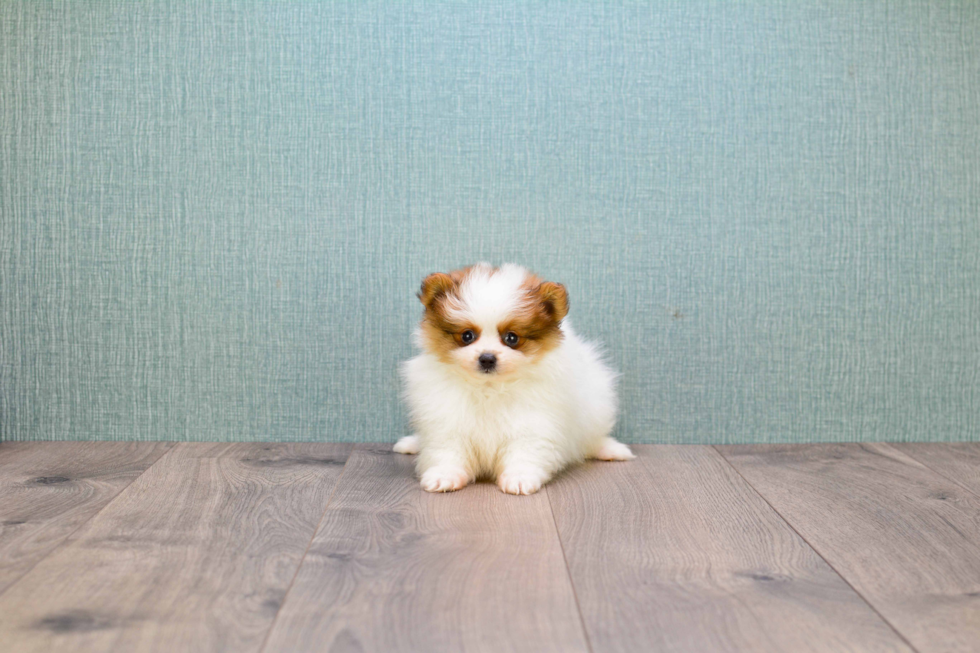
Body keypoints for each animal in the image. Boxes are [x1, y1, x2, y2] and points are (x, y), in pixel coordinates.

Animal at [396, 262, 636, 494]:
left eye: (511, 338)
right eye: (467, 336)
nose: (487, 358)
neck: (489, 389)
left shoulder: (533, 422)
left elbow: (525, 452)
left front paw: (519, 478)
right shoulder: (446, 420)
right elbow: (447, 451)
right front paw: (444, 475)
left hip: (596, 406)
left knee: (593, 438)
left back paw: (610, 449)